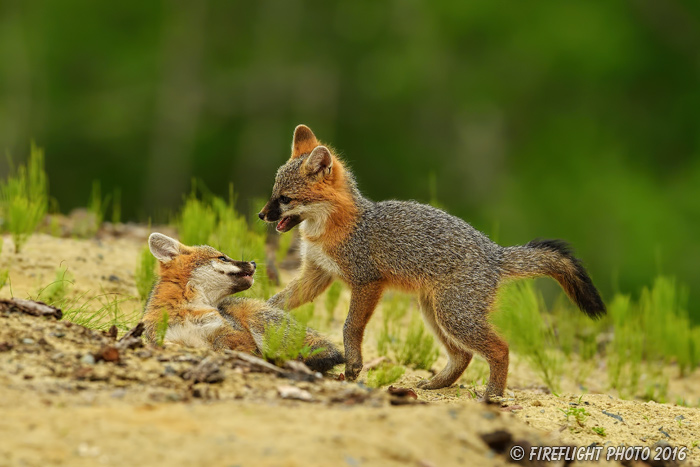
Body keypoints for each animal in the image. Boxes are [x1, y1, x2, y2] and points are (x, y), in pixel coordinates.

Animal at [141, 233, 344, 372]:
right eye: (222, 258)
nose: (253, 262)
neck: (191, 309)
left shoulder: (235, 332)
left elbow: (224, 342)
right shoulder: (167, 339)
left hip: (257, 320)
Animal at [258, 124, 608, 398]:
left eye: (285, 199)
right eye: (273, 193)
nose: (261, 215)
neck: (335, 228)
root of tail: (494, 252)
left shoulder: (367, 281)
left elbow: (350, 325)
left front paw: (353, 364)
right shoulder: (317, 275)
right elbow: (278, 301)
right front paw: (261, 315)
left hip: (453, 317)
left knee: (500, 349)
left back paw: (493, 395)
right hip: (434, 313)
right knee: (463, 356)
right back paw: (437, 384)